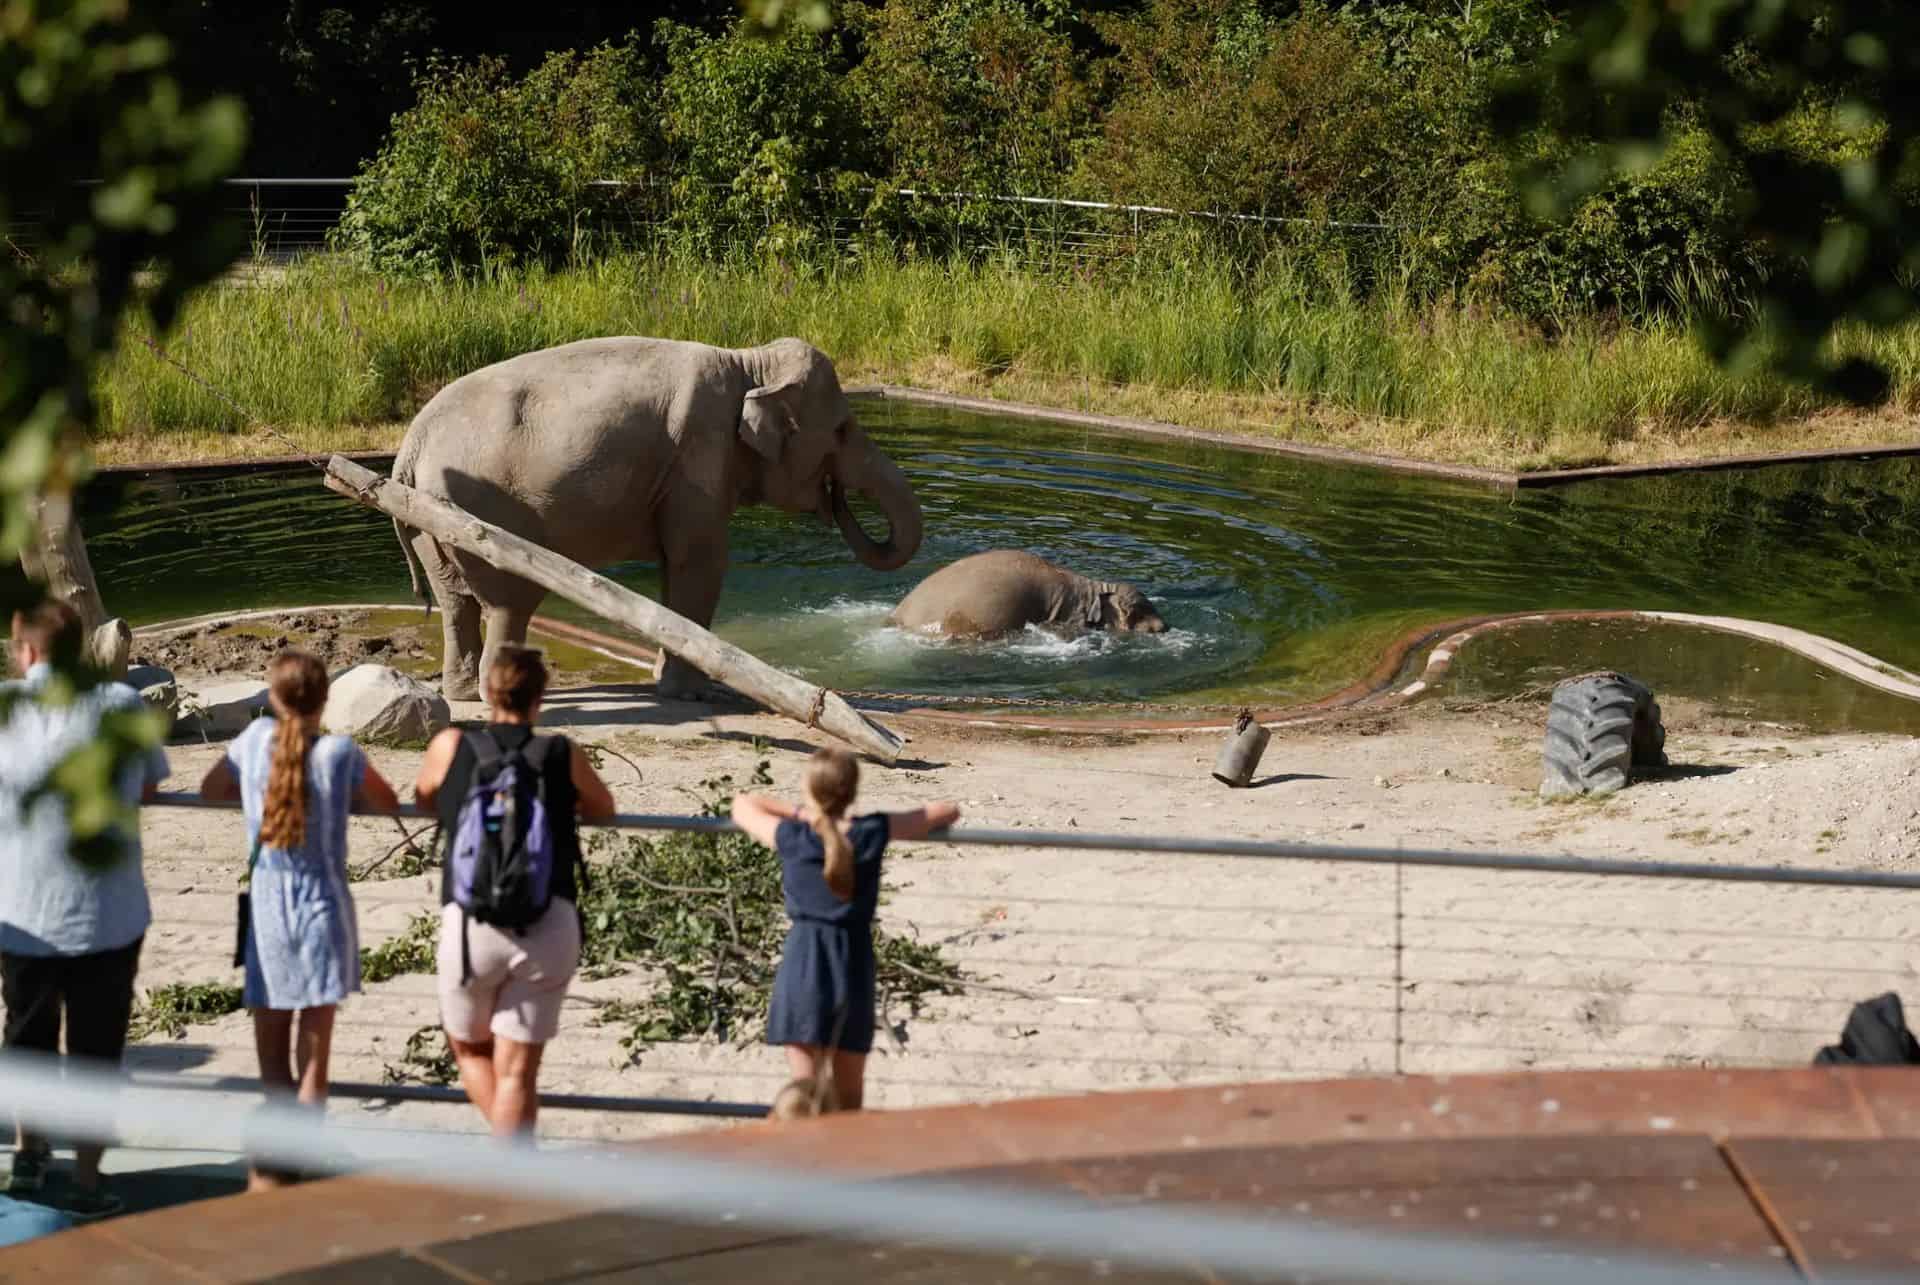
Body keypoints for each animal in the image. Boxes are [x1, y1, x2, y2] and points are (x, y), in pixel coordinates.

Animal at [390, 336, 924, 700]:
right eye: (842, 429)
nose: (836, 499)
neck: (748, 361)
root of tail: (410, 447)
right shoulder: (700, 458)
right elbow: (700, 562)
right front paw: (692, 693)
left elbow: (676, 566)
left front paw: (666, 680)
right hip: (478, 509)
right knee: (509, 601)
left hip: (428, 520)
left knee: (456, 603)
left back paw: (461, 693)